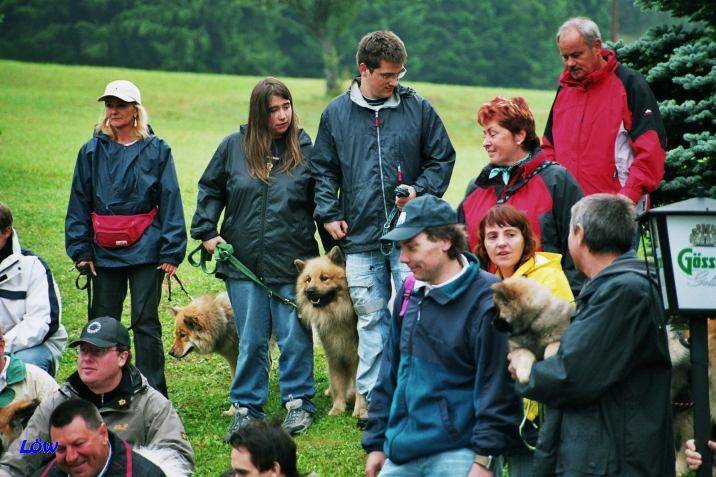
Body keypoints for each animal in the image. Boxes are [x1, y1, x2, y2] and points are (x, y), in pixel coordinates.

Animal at [294, 245, 366, 416]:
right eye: (308, 279)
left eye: (324, 278)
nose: (309, 291)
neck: (337, 315)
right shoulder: (335, 356)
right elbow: (338, 383)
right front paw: (338, 408)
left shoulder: (357, 358)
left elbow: (360, 386)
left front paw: (359, 410)